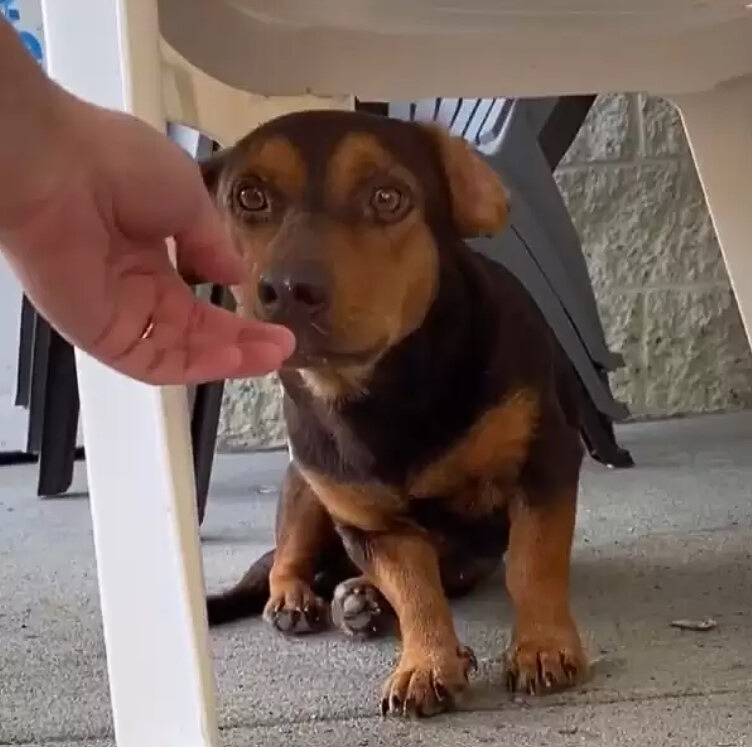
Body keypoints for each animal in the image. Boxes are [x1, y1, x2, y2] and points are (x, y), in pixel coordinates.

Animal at [200, 111, 588, 720]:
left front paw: (543, 646)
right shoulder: (373, 526)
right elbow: (415, 593)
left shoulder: (543, 461)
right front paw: (426, 662)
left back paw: (357, 596)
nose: (287, 289)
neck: (382, 392)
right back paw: (299, 597)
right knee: (284, 556)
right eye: (249, 196)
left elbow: (534, 562)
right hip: (305, 482)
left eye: (388, 197)